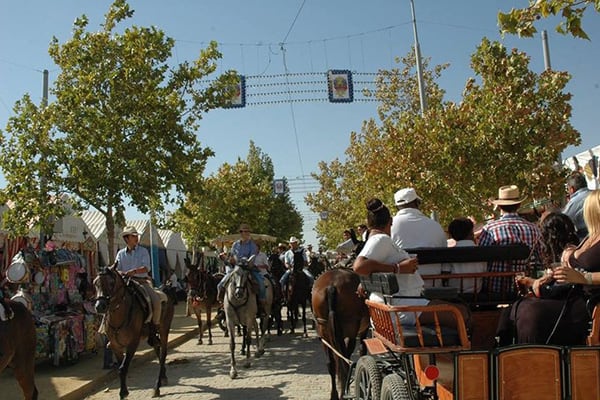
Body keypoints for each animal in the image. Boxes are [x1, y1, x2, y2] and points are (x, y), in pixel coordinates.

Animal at [92, 264, 175, 398]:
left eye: (111, 282)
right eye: (95, 283)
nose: (100, 306)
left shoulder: (132, 344)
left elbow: (123, 368)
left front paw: (123, 393)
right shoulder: (116, 346)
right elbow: (121, 367)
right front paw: (124, 391)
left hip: (164, 329)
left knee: (163, 354)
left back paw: (157, 387)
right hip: (152, 335)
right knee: (158, 349)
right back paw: (163, 377)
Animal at [314, 268, 370, 400]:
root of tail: (331, 286)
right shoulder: (361, 330)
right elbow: (362, 349)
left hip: (324, 333)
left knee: (332, 364)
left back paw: (335, 394)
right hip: (351, 328)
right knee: (344, 361)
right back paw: (344, 392)